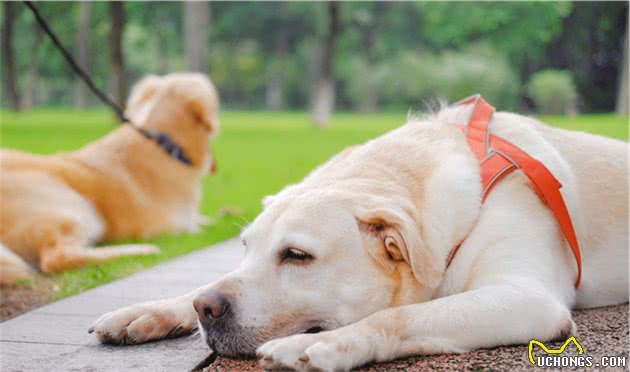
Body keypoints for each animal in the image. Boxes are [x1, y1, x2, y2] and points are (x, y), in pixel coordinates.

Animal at [0, 72, 221, 282]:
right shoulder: (178, 226)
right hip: (77, 207)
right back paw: (140, 249)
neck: (163, 143)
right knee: (55, 258)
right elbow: (201, 226)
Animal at [91, 97, 628, 370]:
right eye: (245, 248)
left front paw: (324, 345)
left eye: (297, 255)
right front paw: (153, 310)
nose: (207, 309)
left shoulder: (526, 298)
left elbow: (400, 315)